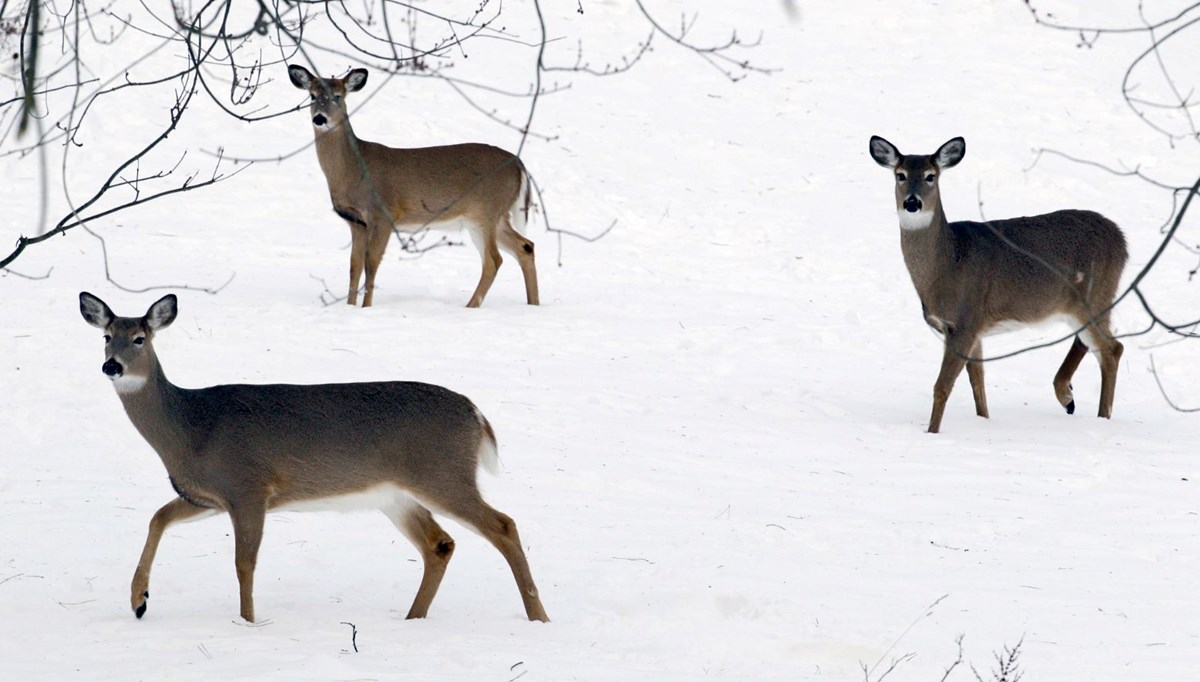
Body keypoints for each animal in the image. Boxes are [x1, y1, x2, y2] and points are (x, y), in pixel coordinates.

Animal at [82, 291, 549, 624]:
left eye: (140, 339)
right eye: (106, 337)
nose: (111, 366)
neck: (192, 429)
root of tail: (476, 414)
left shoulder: (249, 485)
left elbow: (244, 563)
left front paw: (247, 622)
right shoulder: (210, 496)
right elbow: (158, 517)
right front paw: (139, 600)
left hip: (443, 473)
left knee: (503, 525)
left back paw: (537, 617)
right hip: (397, 495)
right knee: (440, 544)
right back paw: (413, 618)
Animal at [286, 63, 540, 309]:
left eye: (338, 96)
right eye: (311, 95)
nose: (319, 119)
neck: (354, 169)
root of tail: (519, 164)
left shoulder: (383, 214)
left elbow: (371, 263)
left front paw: (366, 308)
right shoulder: (356, 222)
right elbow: (354, 266)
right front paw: (349, 307)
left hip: (484, 211)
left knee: (493, 260)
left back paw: (470, 306)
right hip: (495, 215)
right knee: (525, 246)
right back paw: (533, 305)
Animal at [868, 134, 1128, 432]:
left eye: (930, 176)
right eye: (900, 175)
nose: (912, 202)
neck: (948, 264)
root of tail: (1122, 239)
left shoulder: (965, 321)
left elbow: (942, 386)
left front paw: (932, 432)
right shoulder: (973, 329)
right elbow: (977, 383)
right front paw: (983, 420)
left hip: (1095, 295)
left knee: (1112, 349)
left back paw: (1101, 416)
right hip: (1082, 304)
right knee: (1091, 343)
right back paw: (1068, 397)